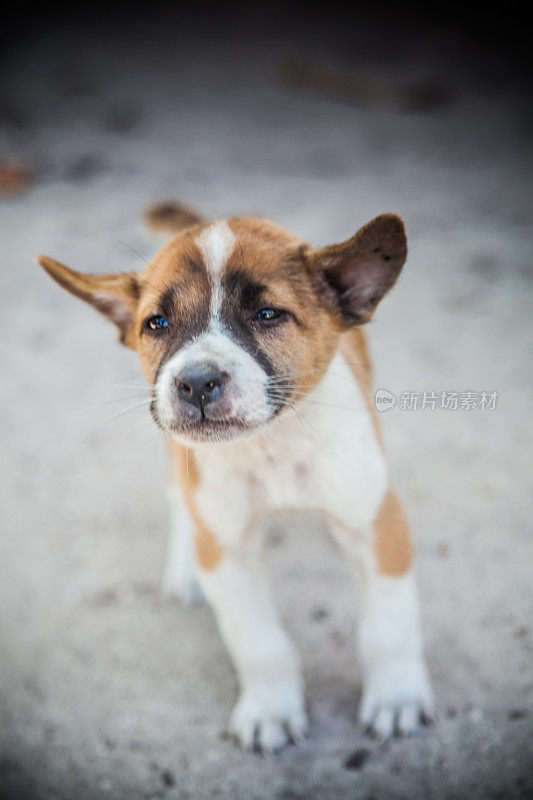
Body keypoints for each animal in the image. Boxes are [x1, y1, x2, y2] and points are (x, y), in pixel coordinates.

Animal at [38, 203, 432, 752]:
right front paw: (271, 708)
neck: (273, 446)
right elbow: (257, 641)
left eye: (267, 315)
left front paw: (397, 696)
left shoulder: (376, 521)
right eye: (156, 323)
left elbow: (390, 624)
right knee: (177, 494)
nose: (196, 383)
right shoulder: (228, 550)